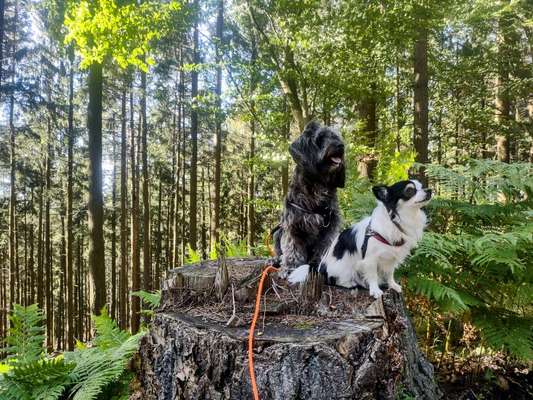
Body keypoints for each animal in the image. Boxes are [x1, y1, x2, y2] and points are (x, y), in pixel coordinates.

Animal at [274, 122, 344, 278]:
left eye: (336, 136)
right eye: (321, 138)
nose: (340, 145)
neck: (318, 184)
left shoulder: (330, 227)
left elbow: (324, 246)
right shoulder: (293, 225)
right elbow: (292, 248)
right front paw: (289, 268)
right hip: (277, 233)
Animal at [288, 180, 430, 298]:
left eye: (422, 186)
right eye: (410, 191)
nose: (429, 190)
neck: (400, 219)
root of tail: (319, 268)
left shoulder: (391, 259)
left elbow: (390, 274)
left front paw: (393, 285)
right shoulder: (370, 259)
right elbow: (372, 275)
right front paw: (375, 290)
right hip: (343, 268)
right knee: (333, 280)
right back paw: (349, 283)